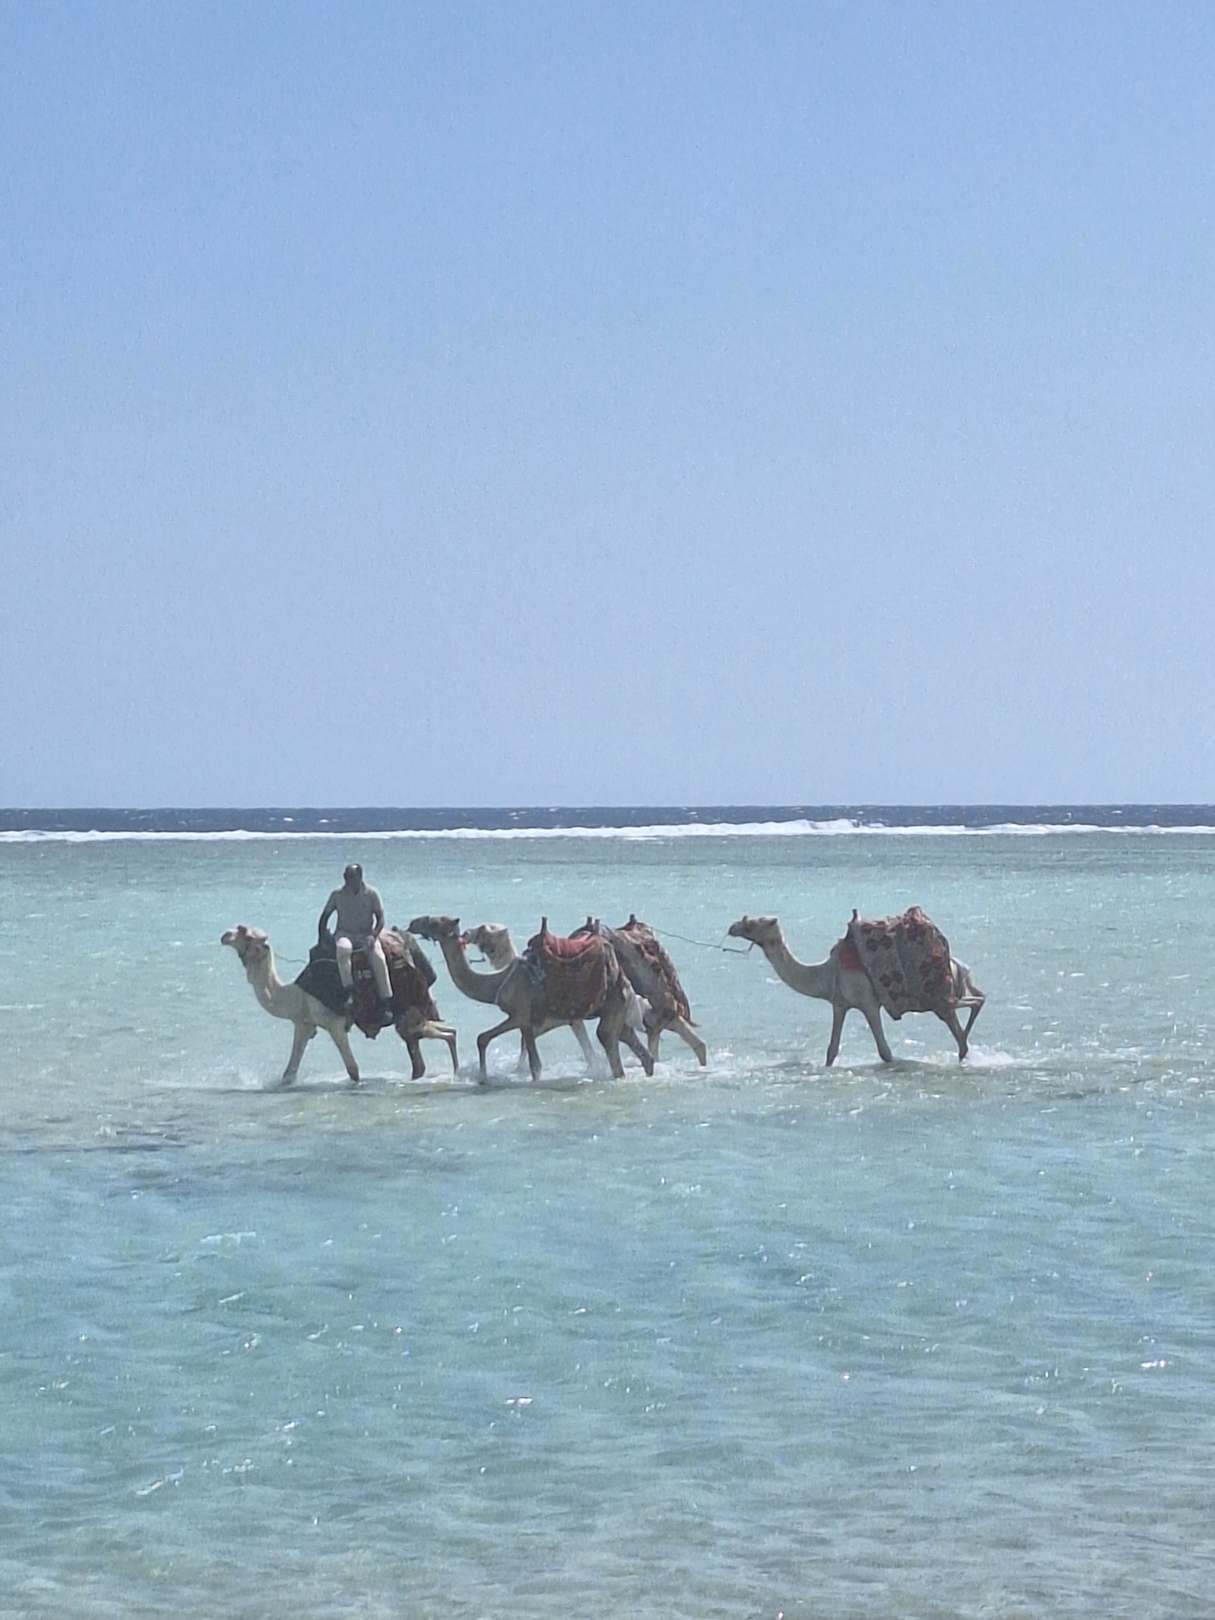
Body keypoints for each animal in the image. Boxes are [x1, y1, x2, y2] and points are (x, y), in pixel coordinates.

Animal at [221, 924, 458, 1087]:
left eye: (246, 934)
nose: (224, 936)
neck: (298, 995)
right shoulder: (304, 1024)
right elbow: (289, 1073)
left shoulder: (334, 1024)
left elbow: (353, 1070)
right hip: (411, 1016)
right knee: (439, 1040)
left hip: (409, 1012)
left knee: (436, 1037)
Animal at [408, 914, 655, 1083]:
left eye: (435, 921)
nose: (412, 923)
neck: (496, 982)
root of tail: (622, 980)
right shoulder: (529, 1022)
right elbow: (490, 1041)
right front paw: (483, 1077)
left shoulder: (520, 1015)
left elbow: (527, 1060)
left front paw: (485, 1077)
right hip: (616, 1012)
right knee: (638, 1049)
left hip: (610, 1008)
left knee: (608, 1043)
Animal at [727, 914, 985, 1065]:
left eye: (751, 923)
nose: (732, 927)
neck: (825, 973)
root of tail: (958, 965)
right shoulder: (839, 1004)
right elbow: (831, 1051)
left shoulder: (868, 1003)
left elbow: (885, 1052)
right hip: (945, 997)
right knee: (964, 1015)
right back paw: (963, 1051)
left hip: (939, 998)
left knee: (969, 1006)